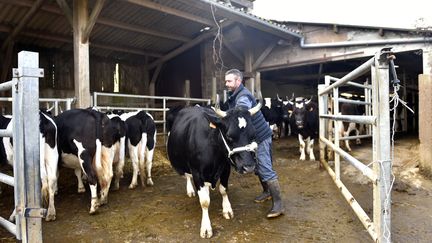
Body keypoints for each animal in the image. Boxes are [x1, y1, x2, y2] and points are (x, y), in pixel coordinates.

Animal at [166, 101, 260, 238]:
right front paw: (206, 228)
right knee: (187, 176)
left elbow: (223, 190)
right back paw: (191, 190)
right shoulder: (197, 173)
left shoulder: (226, 168)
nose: (249, 166)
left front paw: (227, 210)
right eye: (229, 136)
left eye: (253, 134)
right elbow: (205, 201)